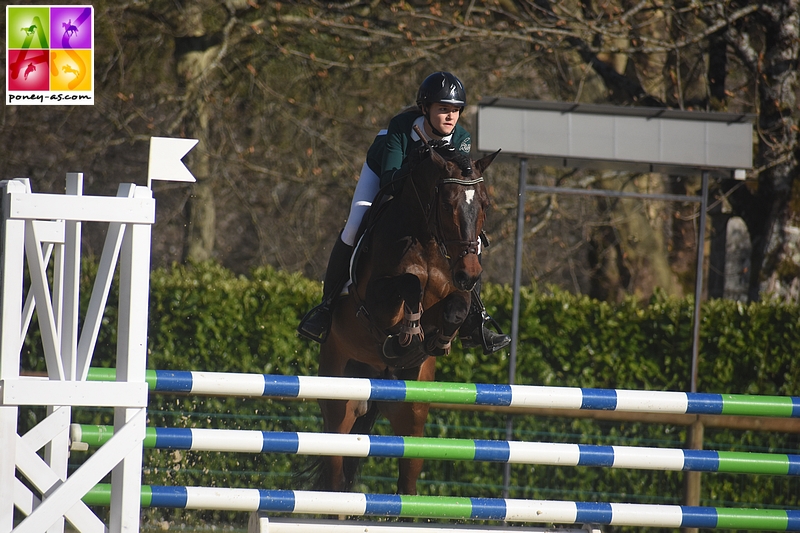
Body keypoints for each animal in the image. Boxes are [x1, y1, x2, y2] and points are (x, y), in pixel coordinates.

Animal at [310, 138, 496, 494]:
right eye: (447, 203)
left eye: (484, 204)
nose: (470, 273)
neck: (427, 240)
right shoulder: (375, 301)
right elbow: (409, 284)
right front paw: (404, 337)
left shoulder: (457, 292)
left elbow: (457, 307)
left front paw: (437, 342)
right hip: (340, 401)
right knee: (334, 471)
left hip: (411, 412)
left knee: (408, 475)